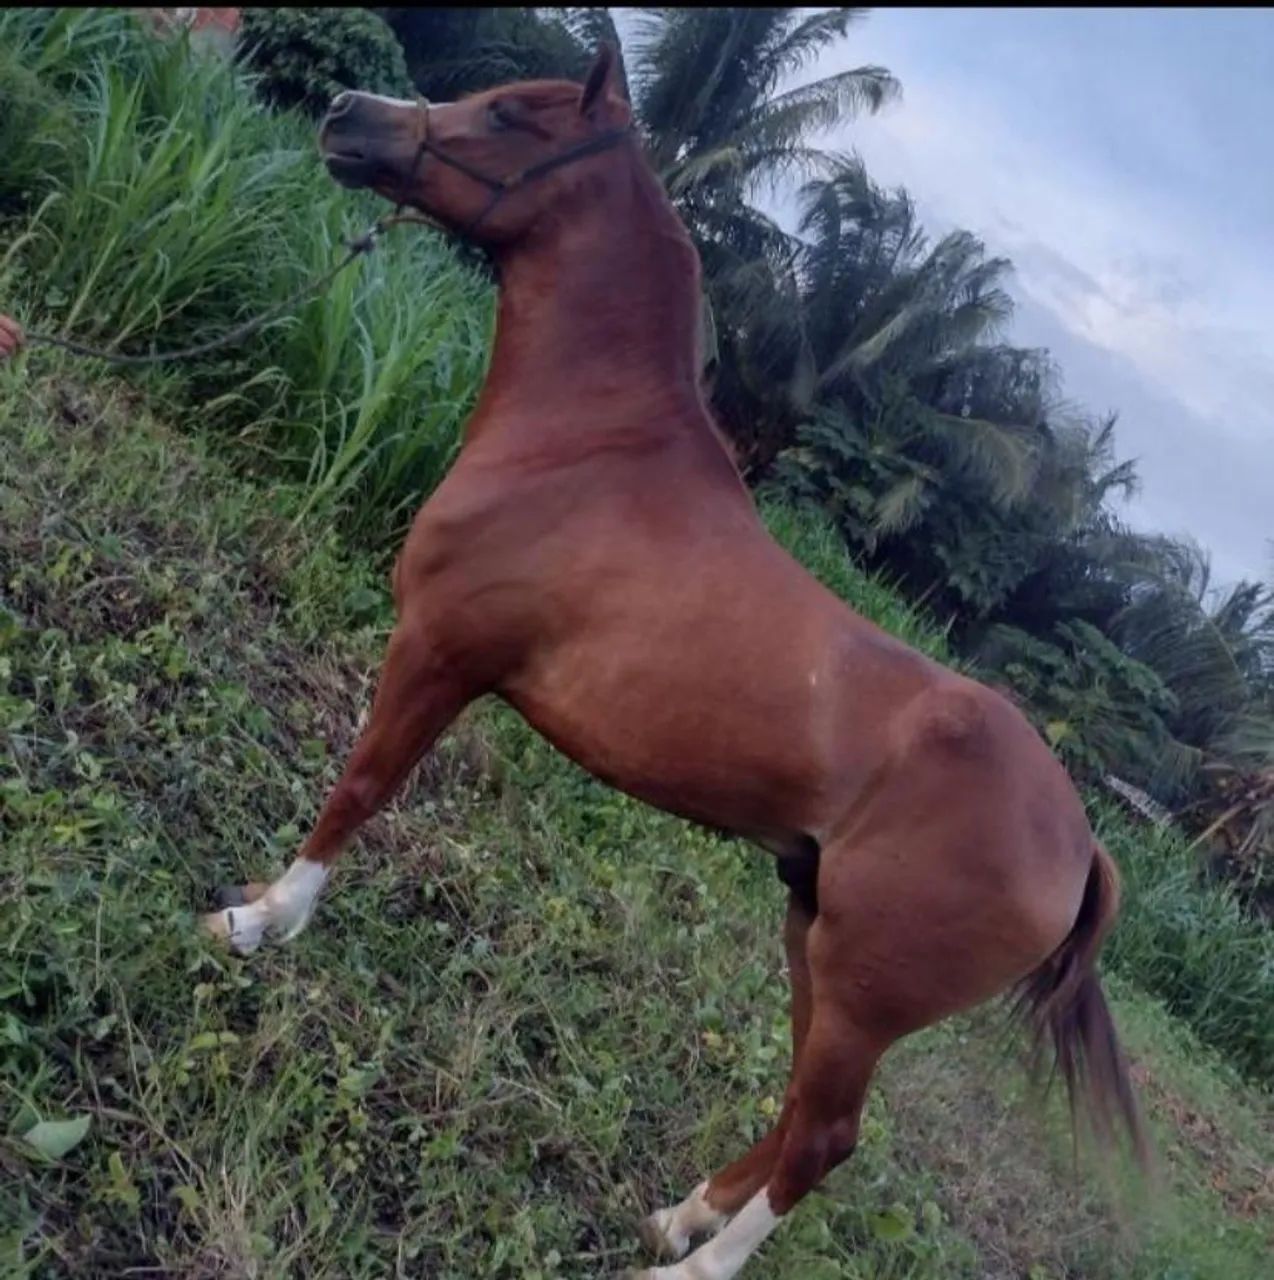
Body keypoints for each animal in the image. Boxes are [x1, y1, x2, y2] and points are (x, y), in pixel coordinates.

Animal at [201, 47, 1148, 1280]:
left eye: (506, 116)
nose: (347, 115)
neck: (592, 446)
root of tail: (1080, 844)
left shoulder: (439, 653)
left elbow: (359, 789)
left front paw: (259, 921)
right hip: (812, 940)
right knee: (800, 1111)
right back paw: (680, 1213)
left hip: (862, 987)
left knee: (827, 1136)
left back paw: (692, 1261)